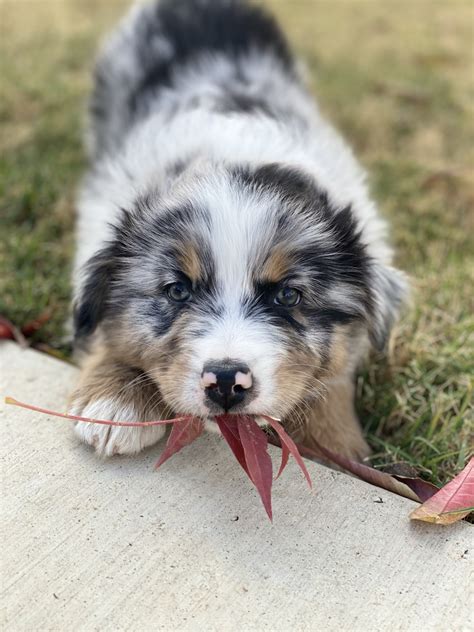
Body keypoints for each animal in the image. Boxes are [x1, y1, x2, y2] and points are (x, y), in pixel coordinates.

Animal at [70, 2, 408, 462]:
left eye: (289, 296)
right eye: (178, 290)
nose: (227, 381)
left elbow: (337, 371)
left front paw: (332, 440)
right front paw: (113, 400)